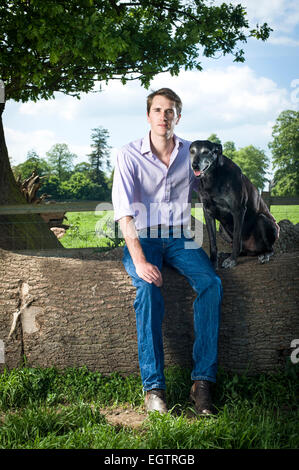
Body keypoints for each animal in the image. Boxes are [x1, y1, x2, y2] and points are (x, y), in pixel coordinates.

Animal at [191, 140, 280, 268]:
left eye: (206, 152)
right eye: (192, 151)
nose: (194, 165)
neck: (213, 179)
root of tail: (252, 250)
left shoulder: (238, 211)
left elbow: (237, 239)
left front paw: (232, 260)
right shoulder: (207, 212)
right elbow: (213, 241)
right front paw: (213, 261)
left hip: (263, 220)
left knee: (270, 248)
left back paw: (264, 255)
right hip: (222, 229)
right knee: (242, 250)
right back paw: (225, 254)